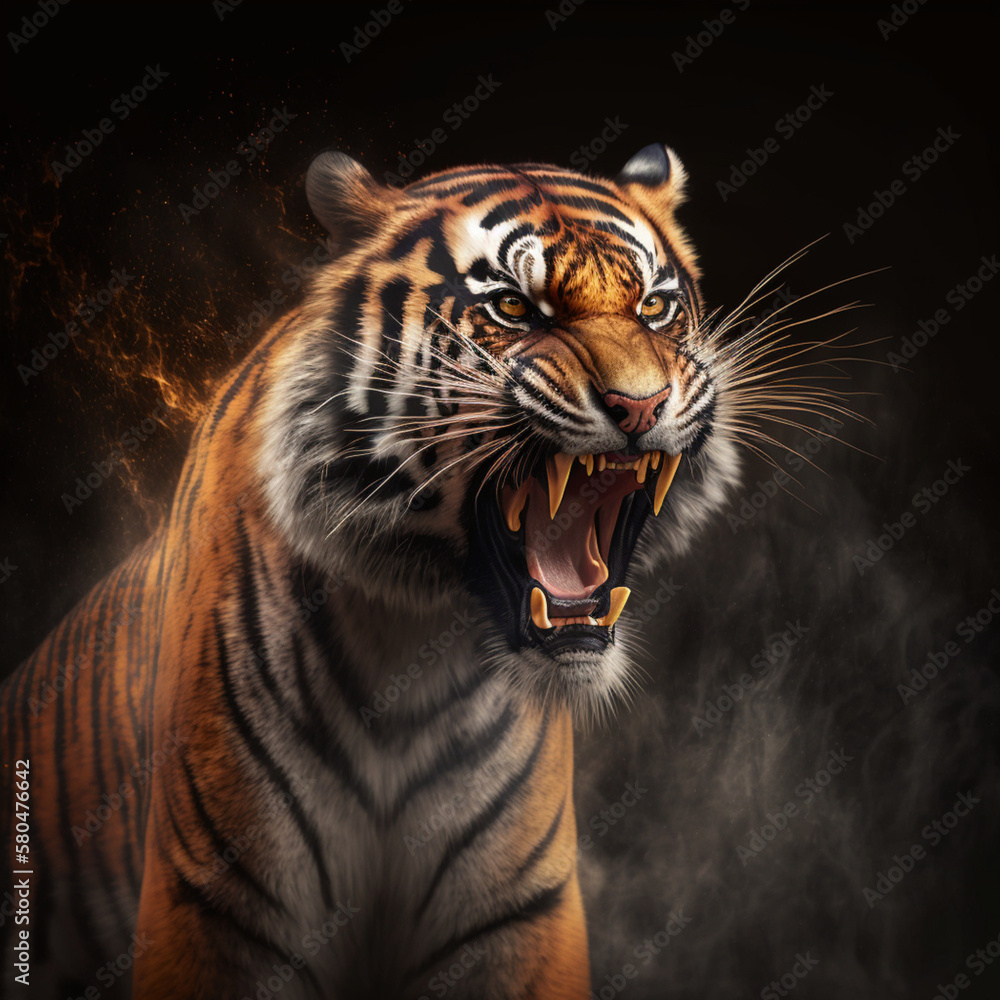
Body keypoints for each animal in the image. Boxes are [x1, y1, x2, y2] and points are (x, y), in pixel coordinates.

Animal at [1, 142, 753, 999]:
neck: (411, 643)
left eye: (655, 309)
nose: (642, 405)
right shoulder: (221, 906)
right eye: (514, 309)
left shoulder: (517, 911)